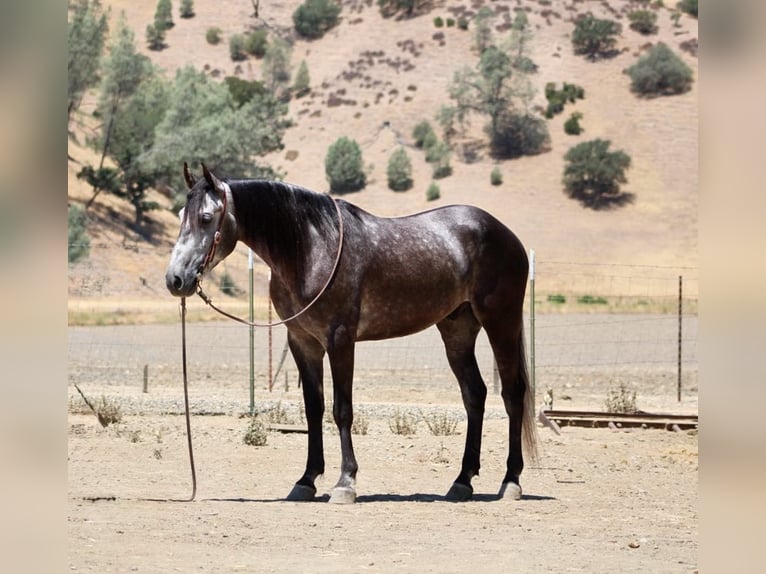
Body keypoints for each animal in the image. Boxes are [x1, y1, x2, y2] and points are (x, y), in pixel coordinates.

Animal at [165, 163, 537, 504]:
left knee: (513, 393)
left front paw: (345, 483)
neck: (312, 248)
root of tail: (506, 235)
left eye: (206, 217)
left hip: (501, 321)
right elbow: (313, 409)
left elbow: (342, 409)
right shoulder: (303, 342)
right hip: (457, 330)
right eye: (182, 214)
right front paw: (306, 480)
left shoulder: (340, 339)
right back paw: (461, 482)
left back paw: (511, 482)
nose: (175, 280)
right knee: (475, 394)